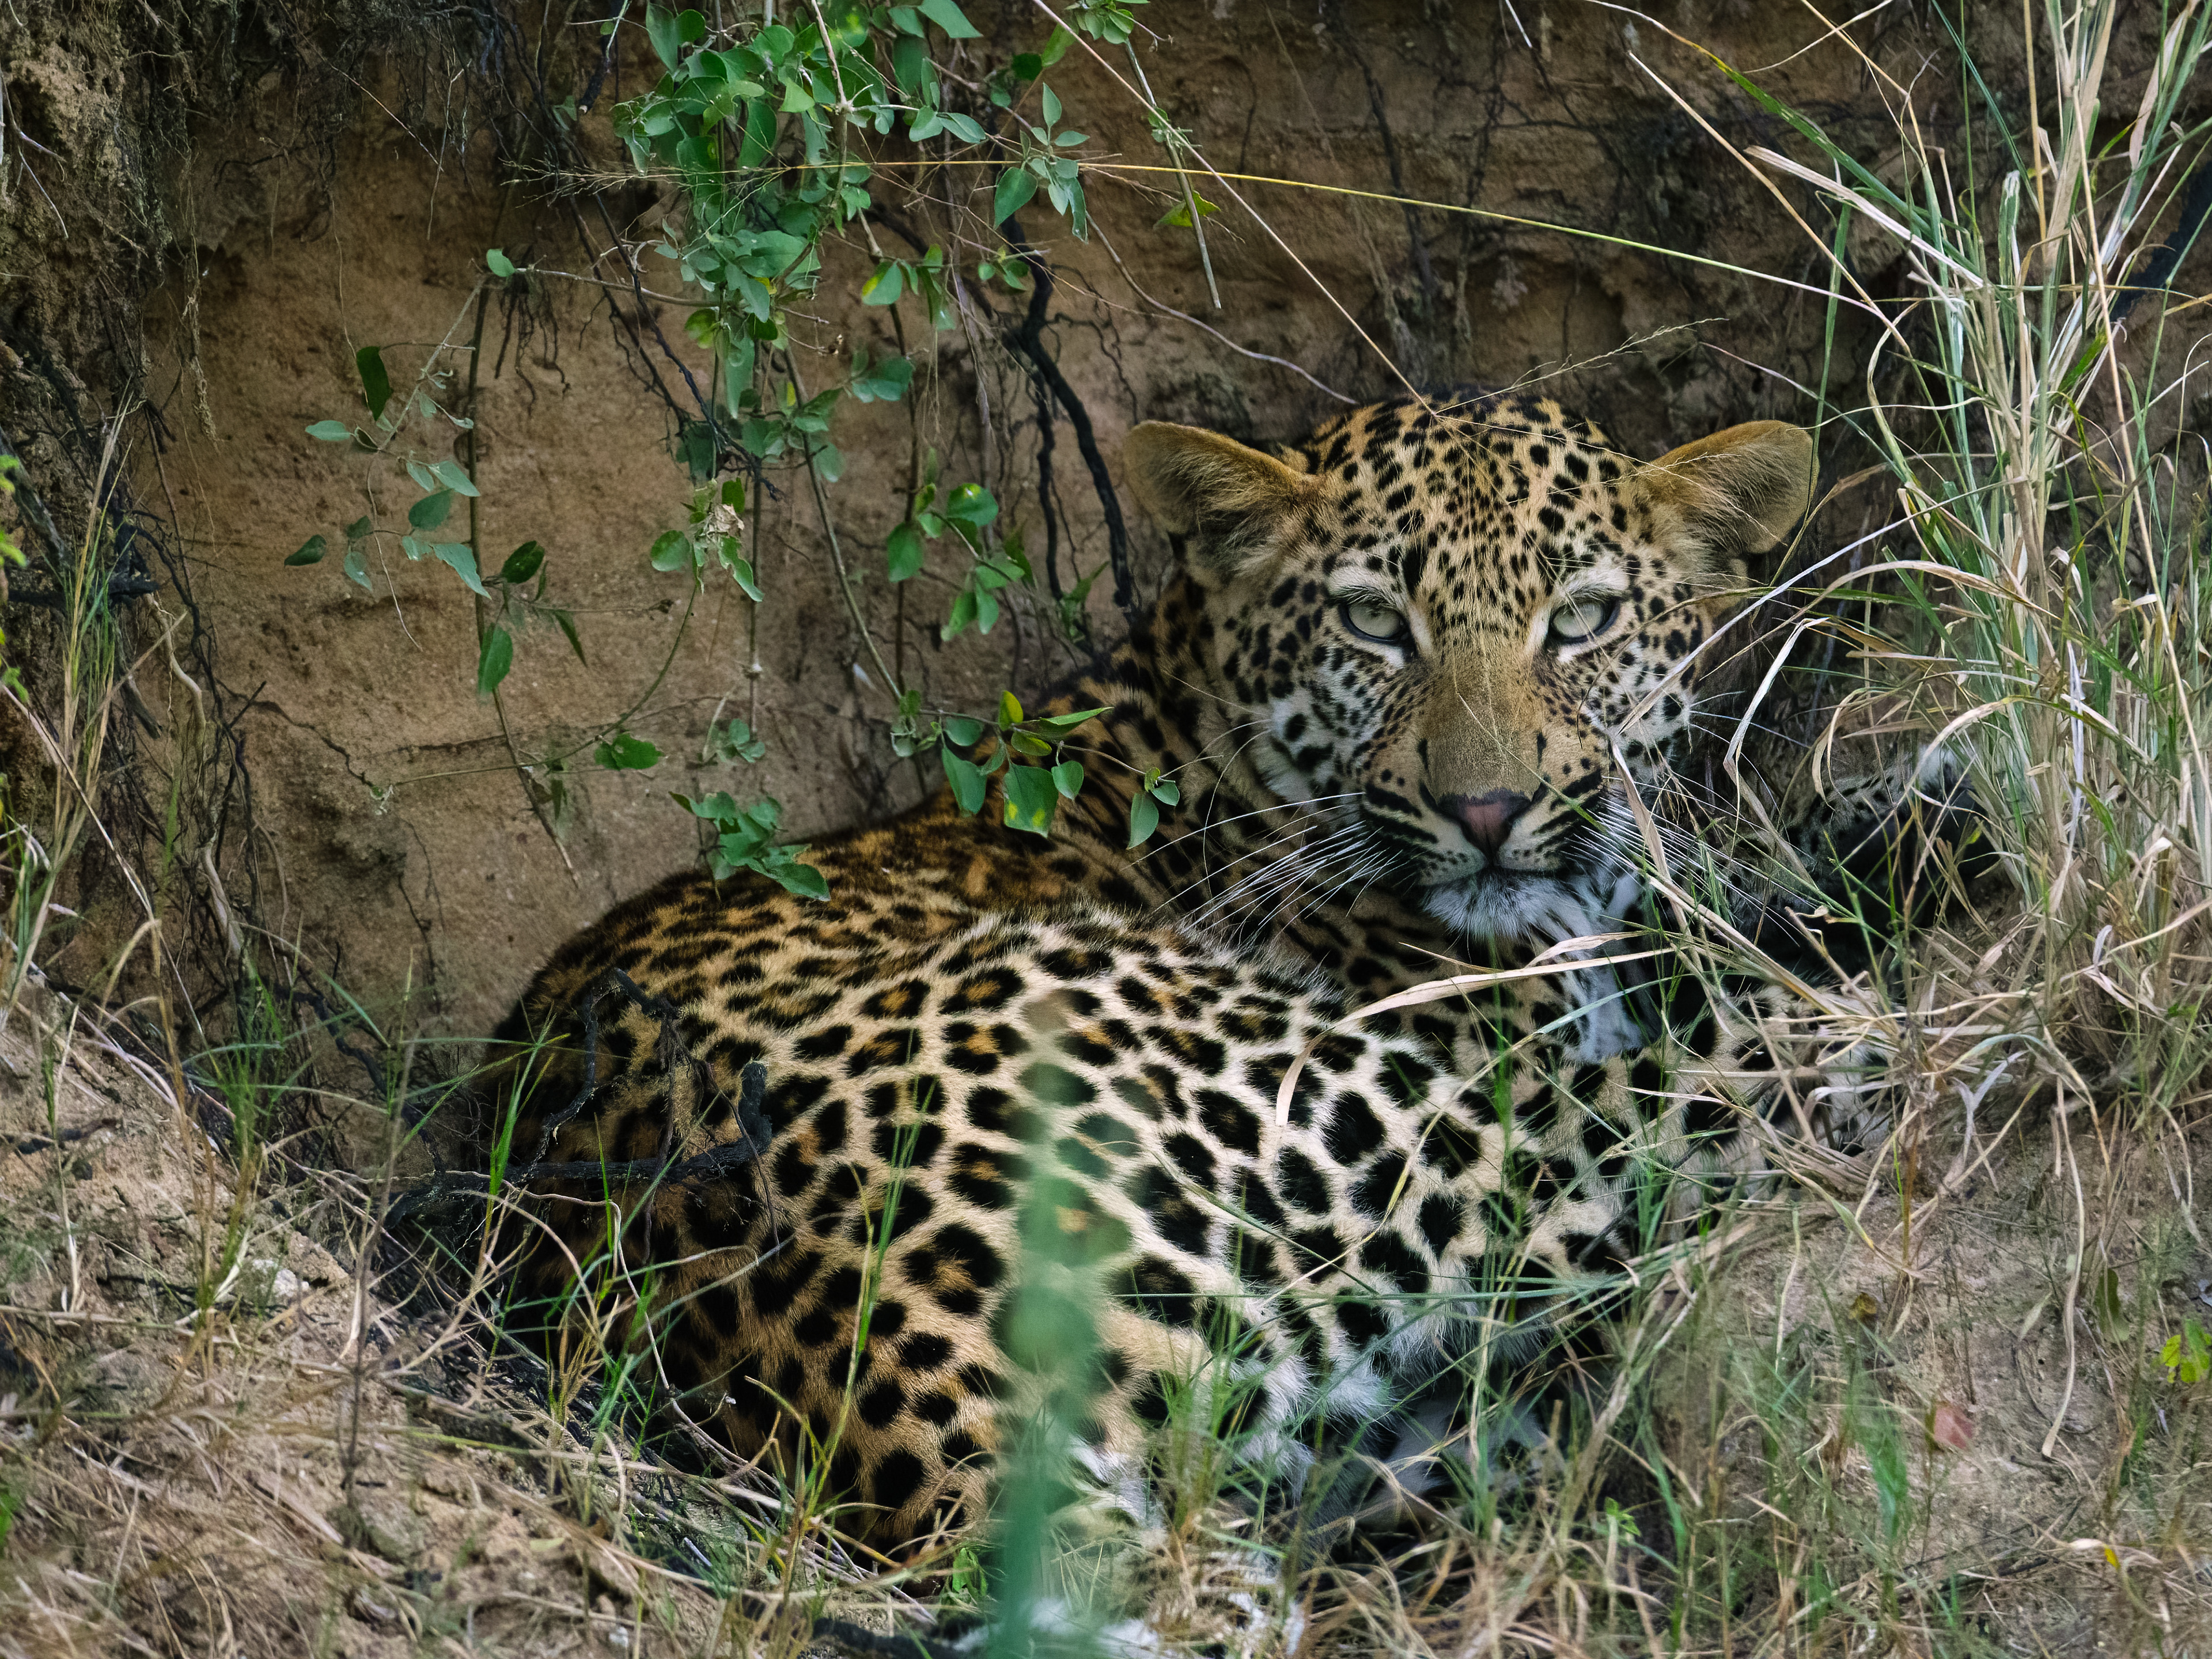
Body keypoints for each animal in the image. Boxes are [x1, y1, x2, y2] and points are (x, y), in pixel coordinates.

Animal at [478, 394, 1947, 1605]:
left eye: (1579, 622)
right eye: (1374, 624)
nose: (1486, 811)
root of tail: (876, 1365)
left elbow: (1721, 905)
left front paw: (1902, 811)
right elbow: (1702, 996)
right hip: (1367, 1108)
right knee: (1668, 1123)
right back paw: (1922, 1036)